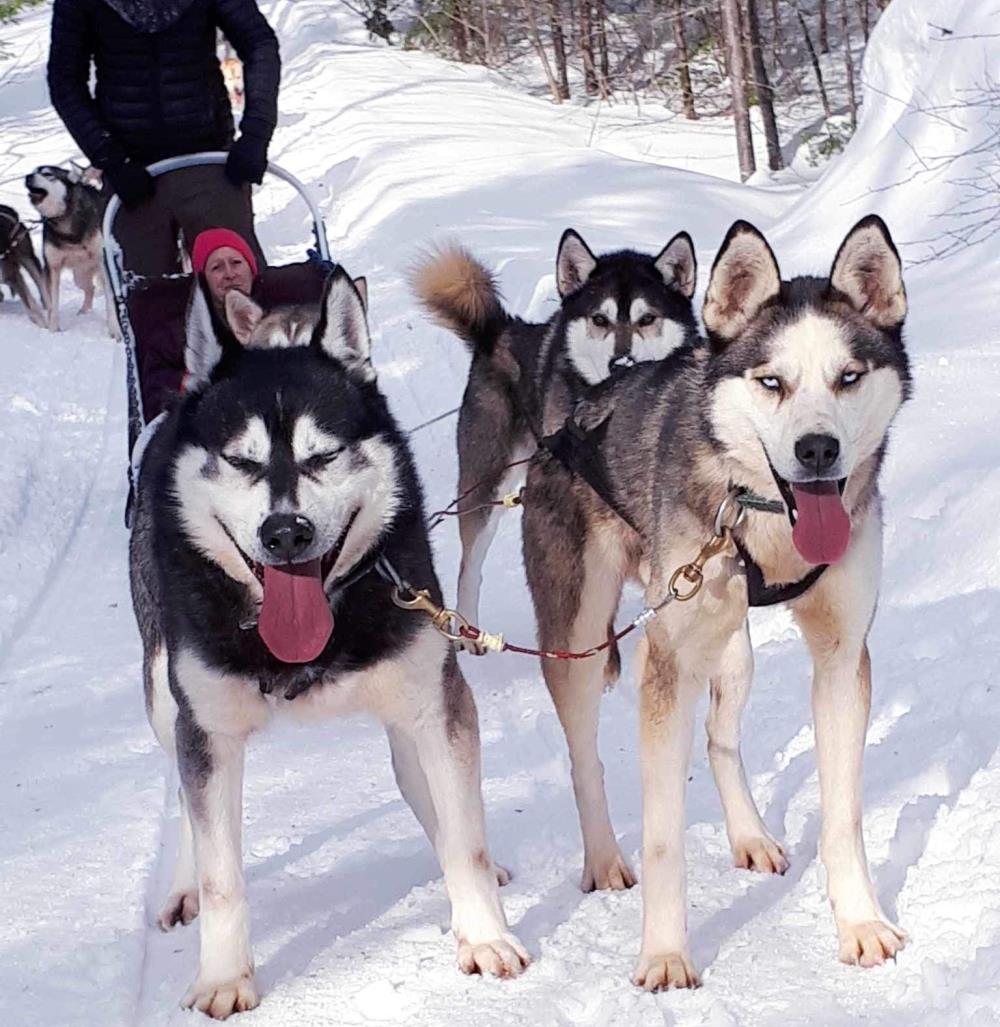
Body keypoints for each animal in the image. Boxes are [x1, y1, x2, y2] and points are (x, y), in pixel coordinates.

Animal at [130, 264, 533, 1018]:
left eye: (324, 454)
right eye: (239, 460)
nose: (285, 533)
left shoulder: (435, 705)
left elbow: (462, 838)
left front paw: (484, 934)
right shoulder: (209, 731)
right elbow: (222, 870)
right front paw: (224, 977)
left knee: (431, 796)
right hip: (166, 699)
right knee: (183, 797)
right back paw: (182, 884)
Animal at [410, 232, 702, 636]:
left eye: (647, 319)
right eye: (600, 319)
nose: (622, 363)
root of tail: (501, 331)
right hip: (485, 486)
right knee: (470, 567)